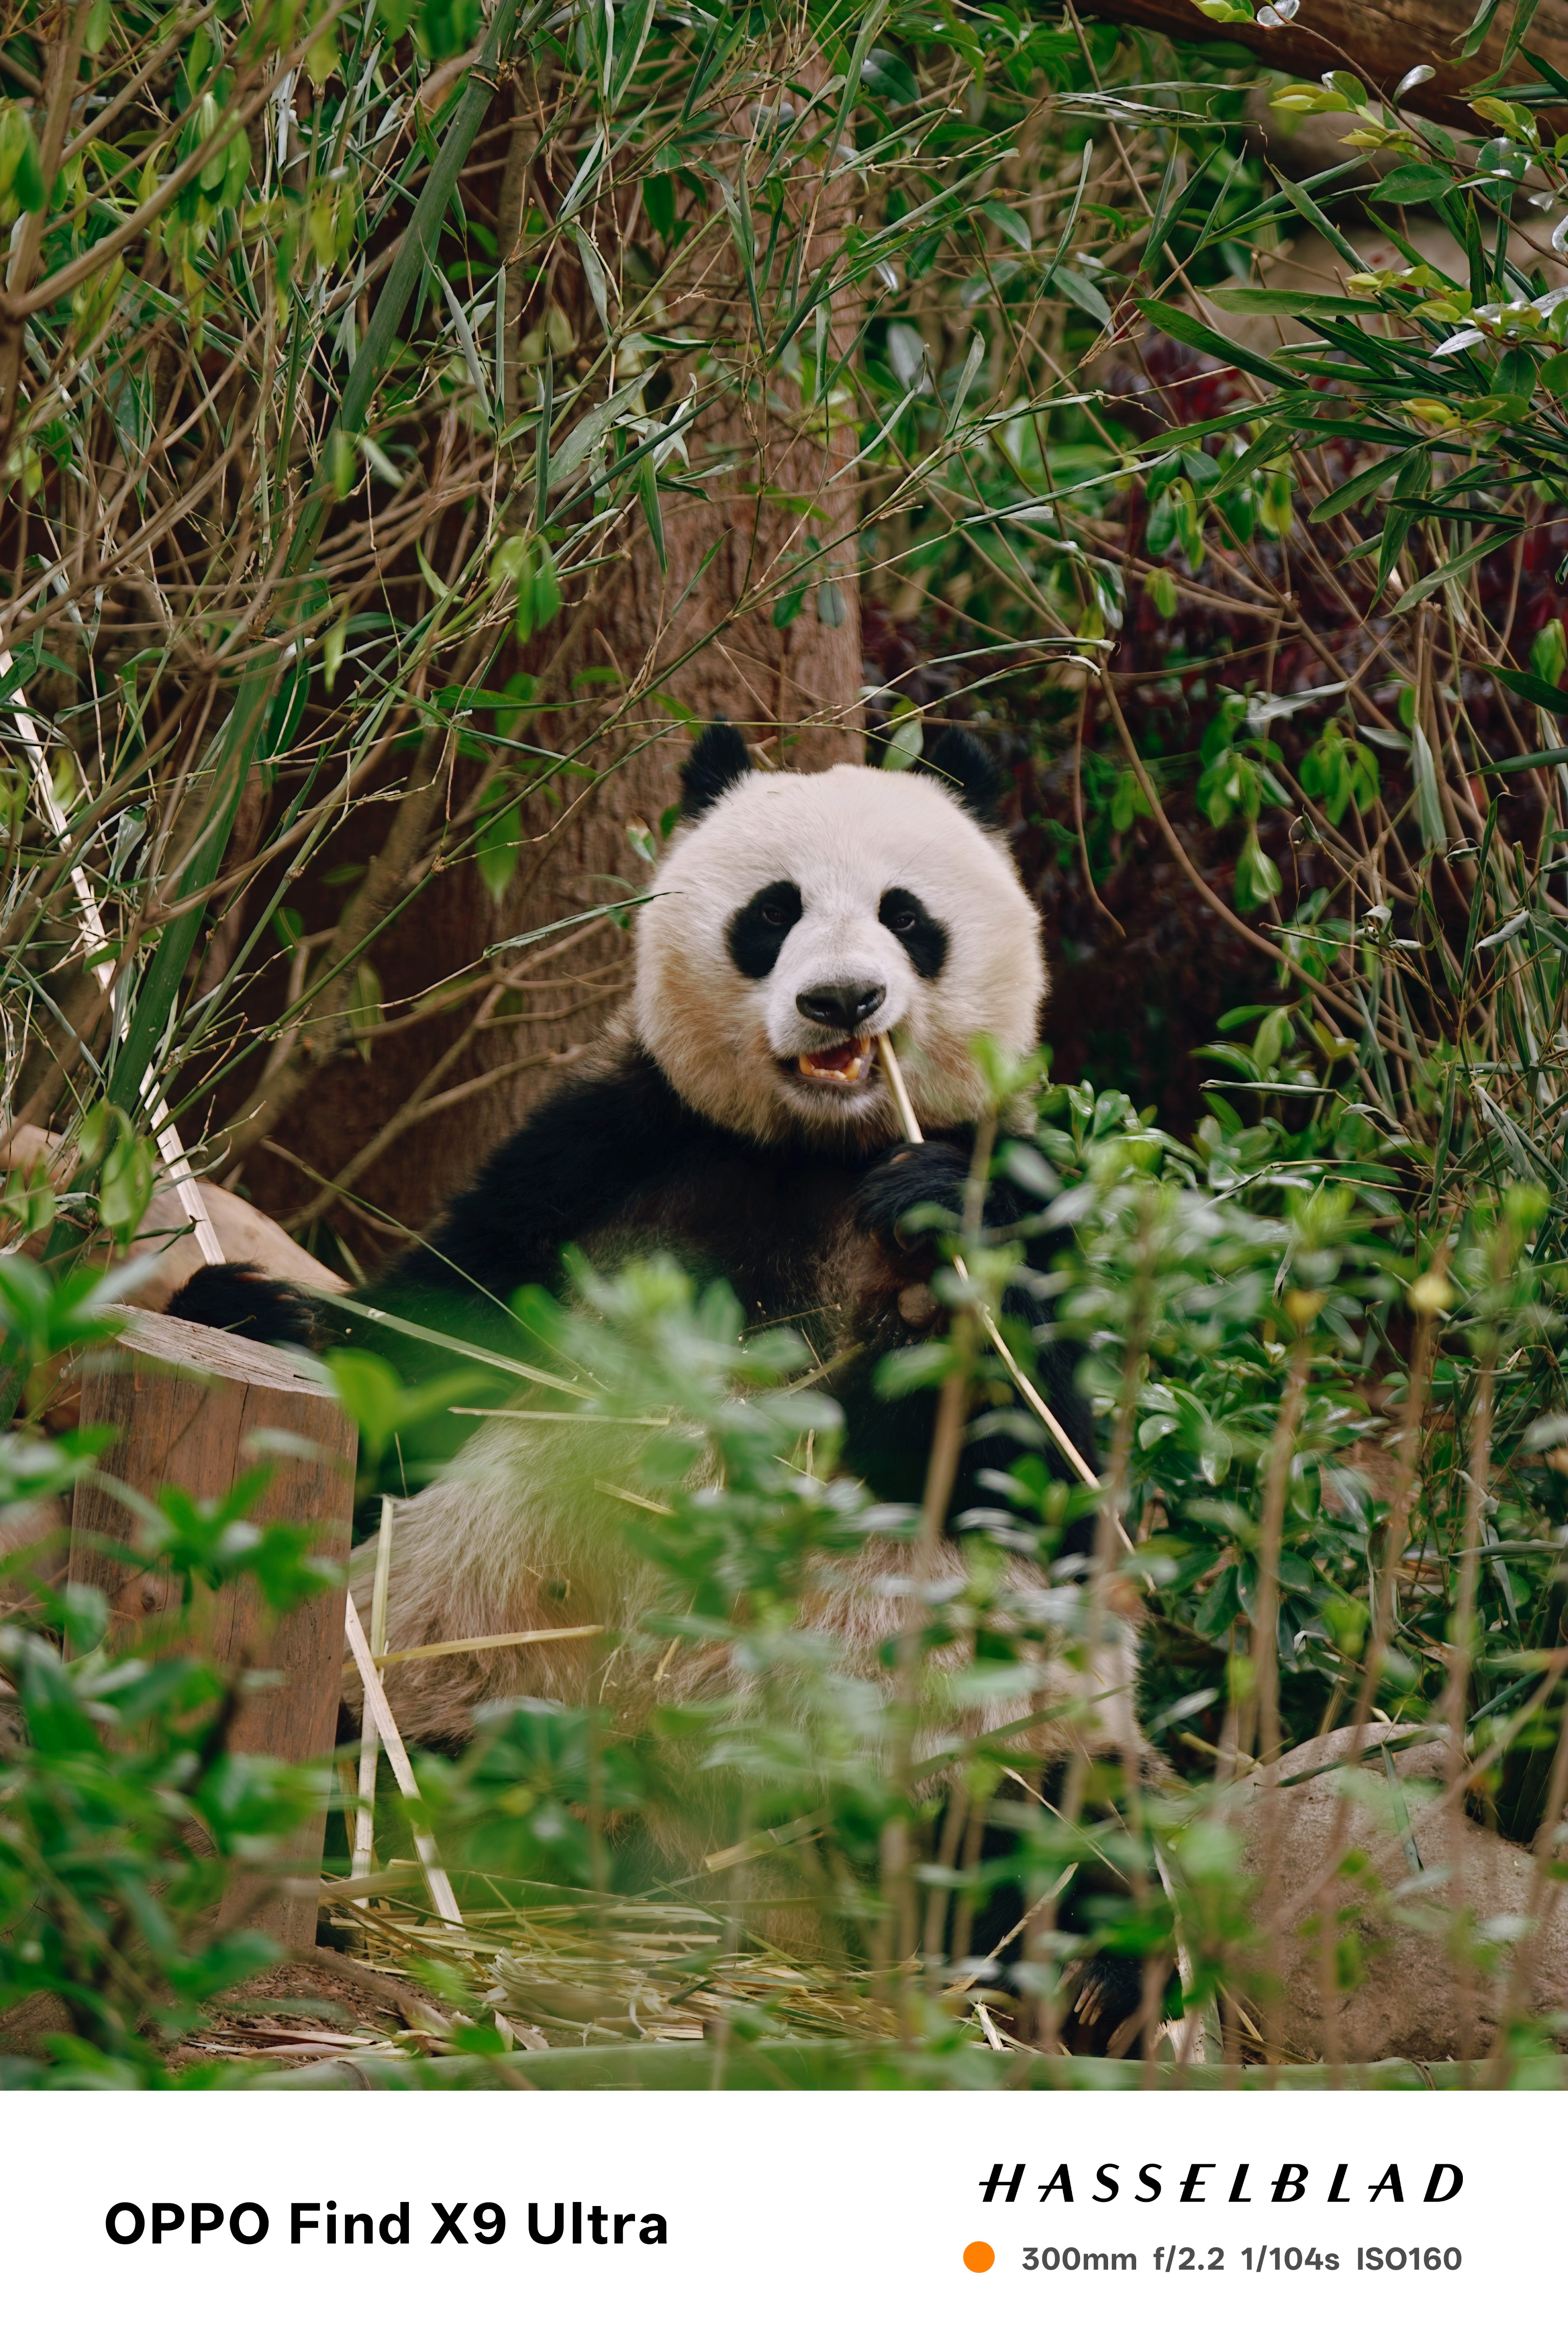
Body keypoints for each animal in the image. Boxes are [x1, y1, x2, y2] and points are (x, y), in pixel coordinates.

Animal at [171, 724, 1143, 1960]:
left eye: (907, 915)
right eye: (773, 912)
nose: (843, 999)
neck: (810, 1154)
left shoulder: (1014, 1187)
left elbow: (1042, 1472)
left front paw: (933, 1231)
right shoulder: (604, 1154)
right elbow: (437, 1339)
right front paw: (248, 1307)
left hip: (990, 1739)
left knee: (1052, 1837)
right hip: (467, 1654)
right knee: (378, 1712)